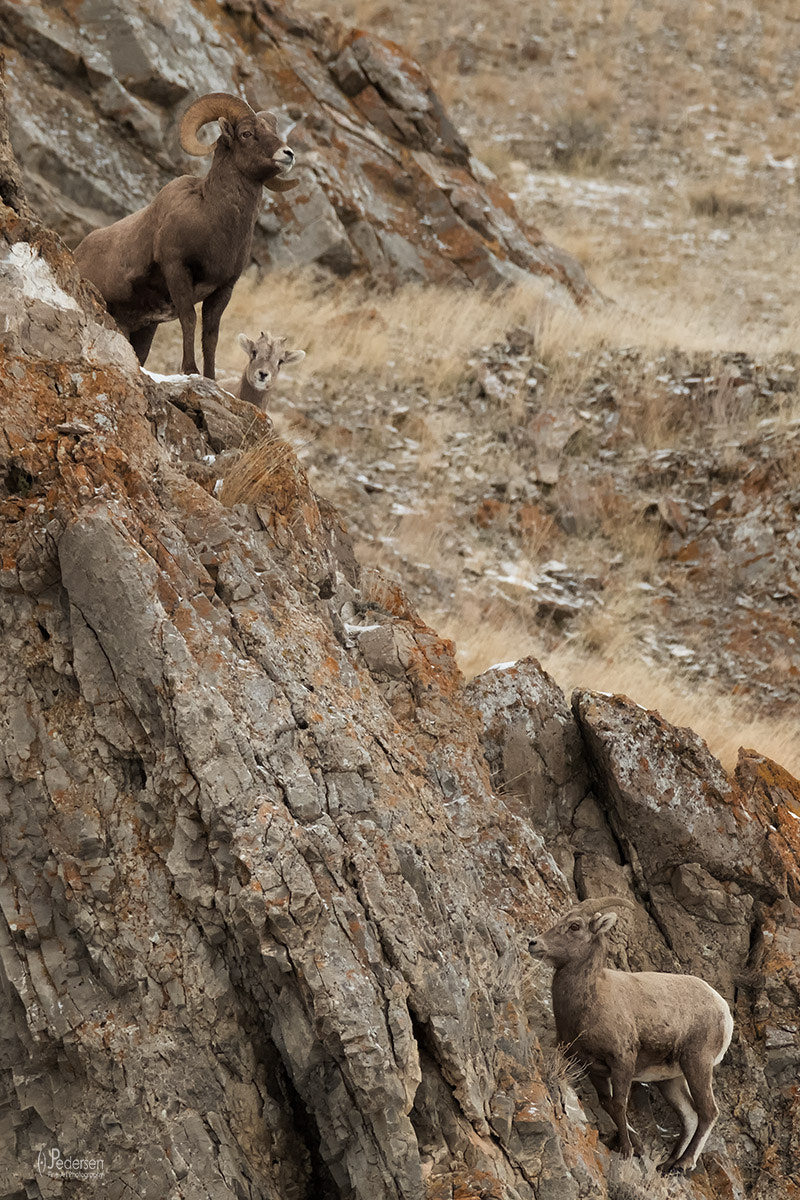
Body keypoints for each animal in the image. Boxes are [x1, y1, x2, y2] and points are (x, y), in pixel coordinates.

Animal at [73, 93, 298, 379]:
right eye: (247, 133)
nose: (288, 154)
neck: (213, 220)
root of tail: (77, 253)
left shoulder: (223, 289)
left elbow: (211, 336)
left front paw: (210, 377)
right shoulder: (177, 270)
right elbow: (189, 319)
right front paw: (190, 369)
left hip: (142, 329)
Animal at [527, 902, 734, 1171]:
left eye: (574, 926)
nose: (534, 943)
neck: (590, 1001)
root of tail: (724, 1010)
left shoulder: (622, 1060)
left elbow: (619, 1104)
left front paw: (626, 1151)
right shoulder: (593, 1068)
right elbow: (608, 1104)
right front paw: (635, 1147)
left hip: (697, 1063)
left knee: (708, 1112)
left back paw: (684, 1164)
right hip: (670, 1080)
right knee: (689, 1116)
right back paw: (666, 1166)